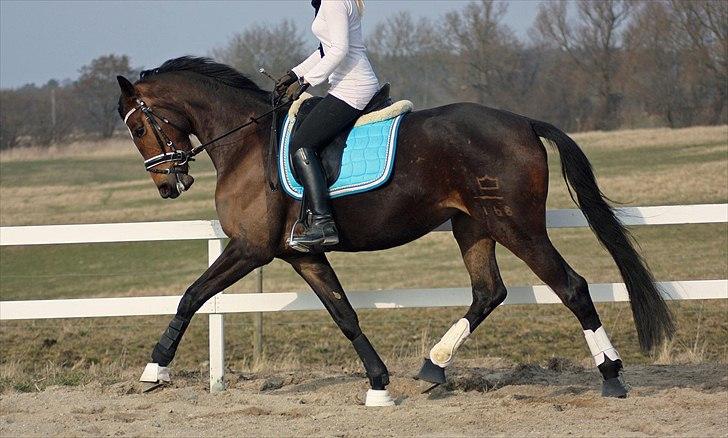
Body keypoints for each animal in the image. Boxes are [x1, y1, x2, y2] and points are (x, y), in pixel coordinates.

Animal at [116, 56, 672, 406]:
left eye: (138, 128)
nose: (169, 184)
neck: (246, 144)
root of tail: (523, 122)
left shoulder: (250, 249)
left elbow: (192, 295)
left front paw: (154, 370)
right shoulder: (302, 254)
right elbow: (344, 314)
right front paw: (379, 383)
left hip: (517, 226)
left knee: (571, 286)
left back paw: (611, 376)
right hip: (474, 227)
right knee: (488, 291)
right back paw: (433, 367)